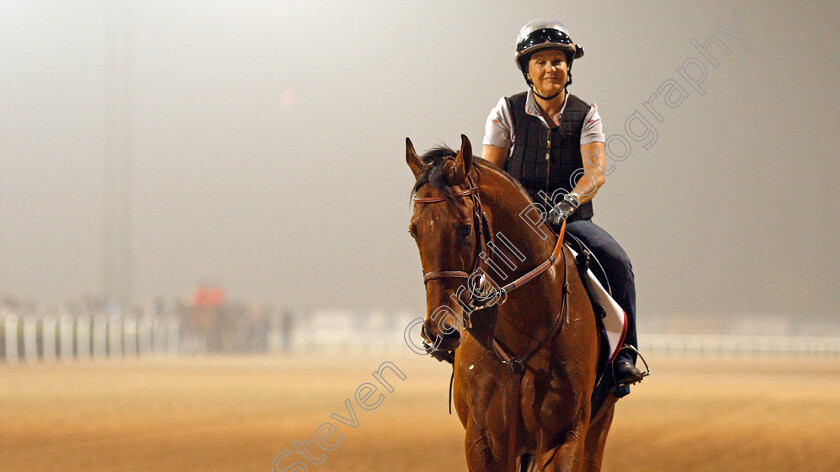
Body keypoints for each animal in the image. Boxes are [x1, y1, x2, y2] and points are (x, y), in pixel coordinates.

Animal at [406, 135, 616, 470]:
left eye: (465, 228)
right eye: (414, 230)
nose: (440, 331)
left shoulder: (565, 438)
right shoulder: (483, 442)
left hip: (598, 427)